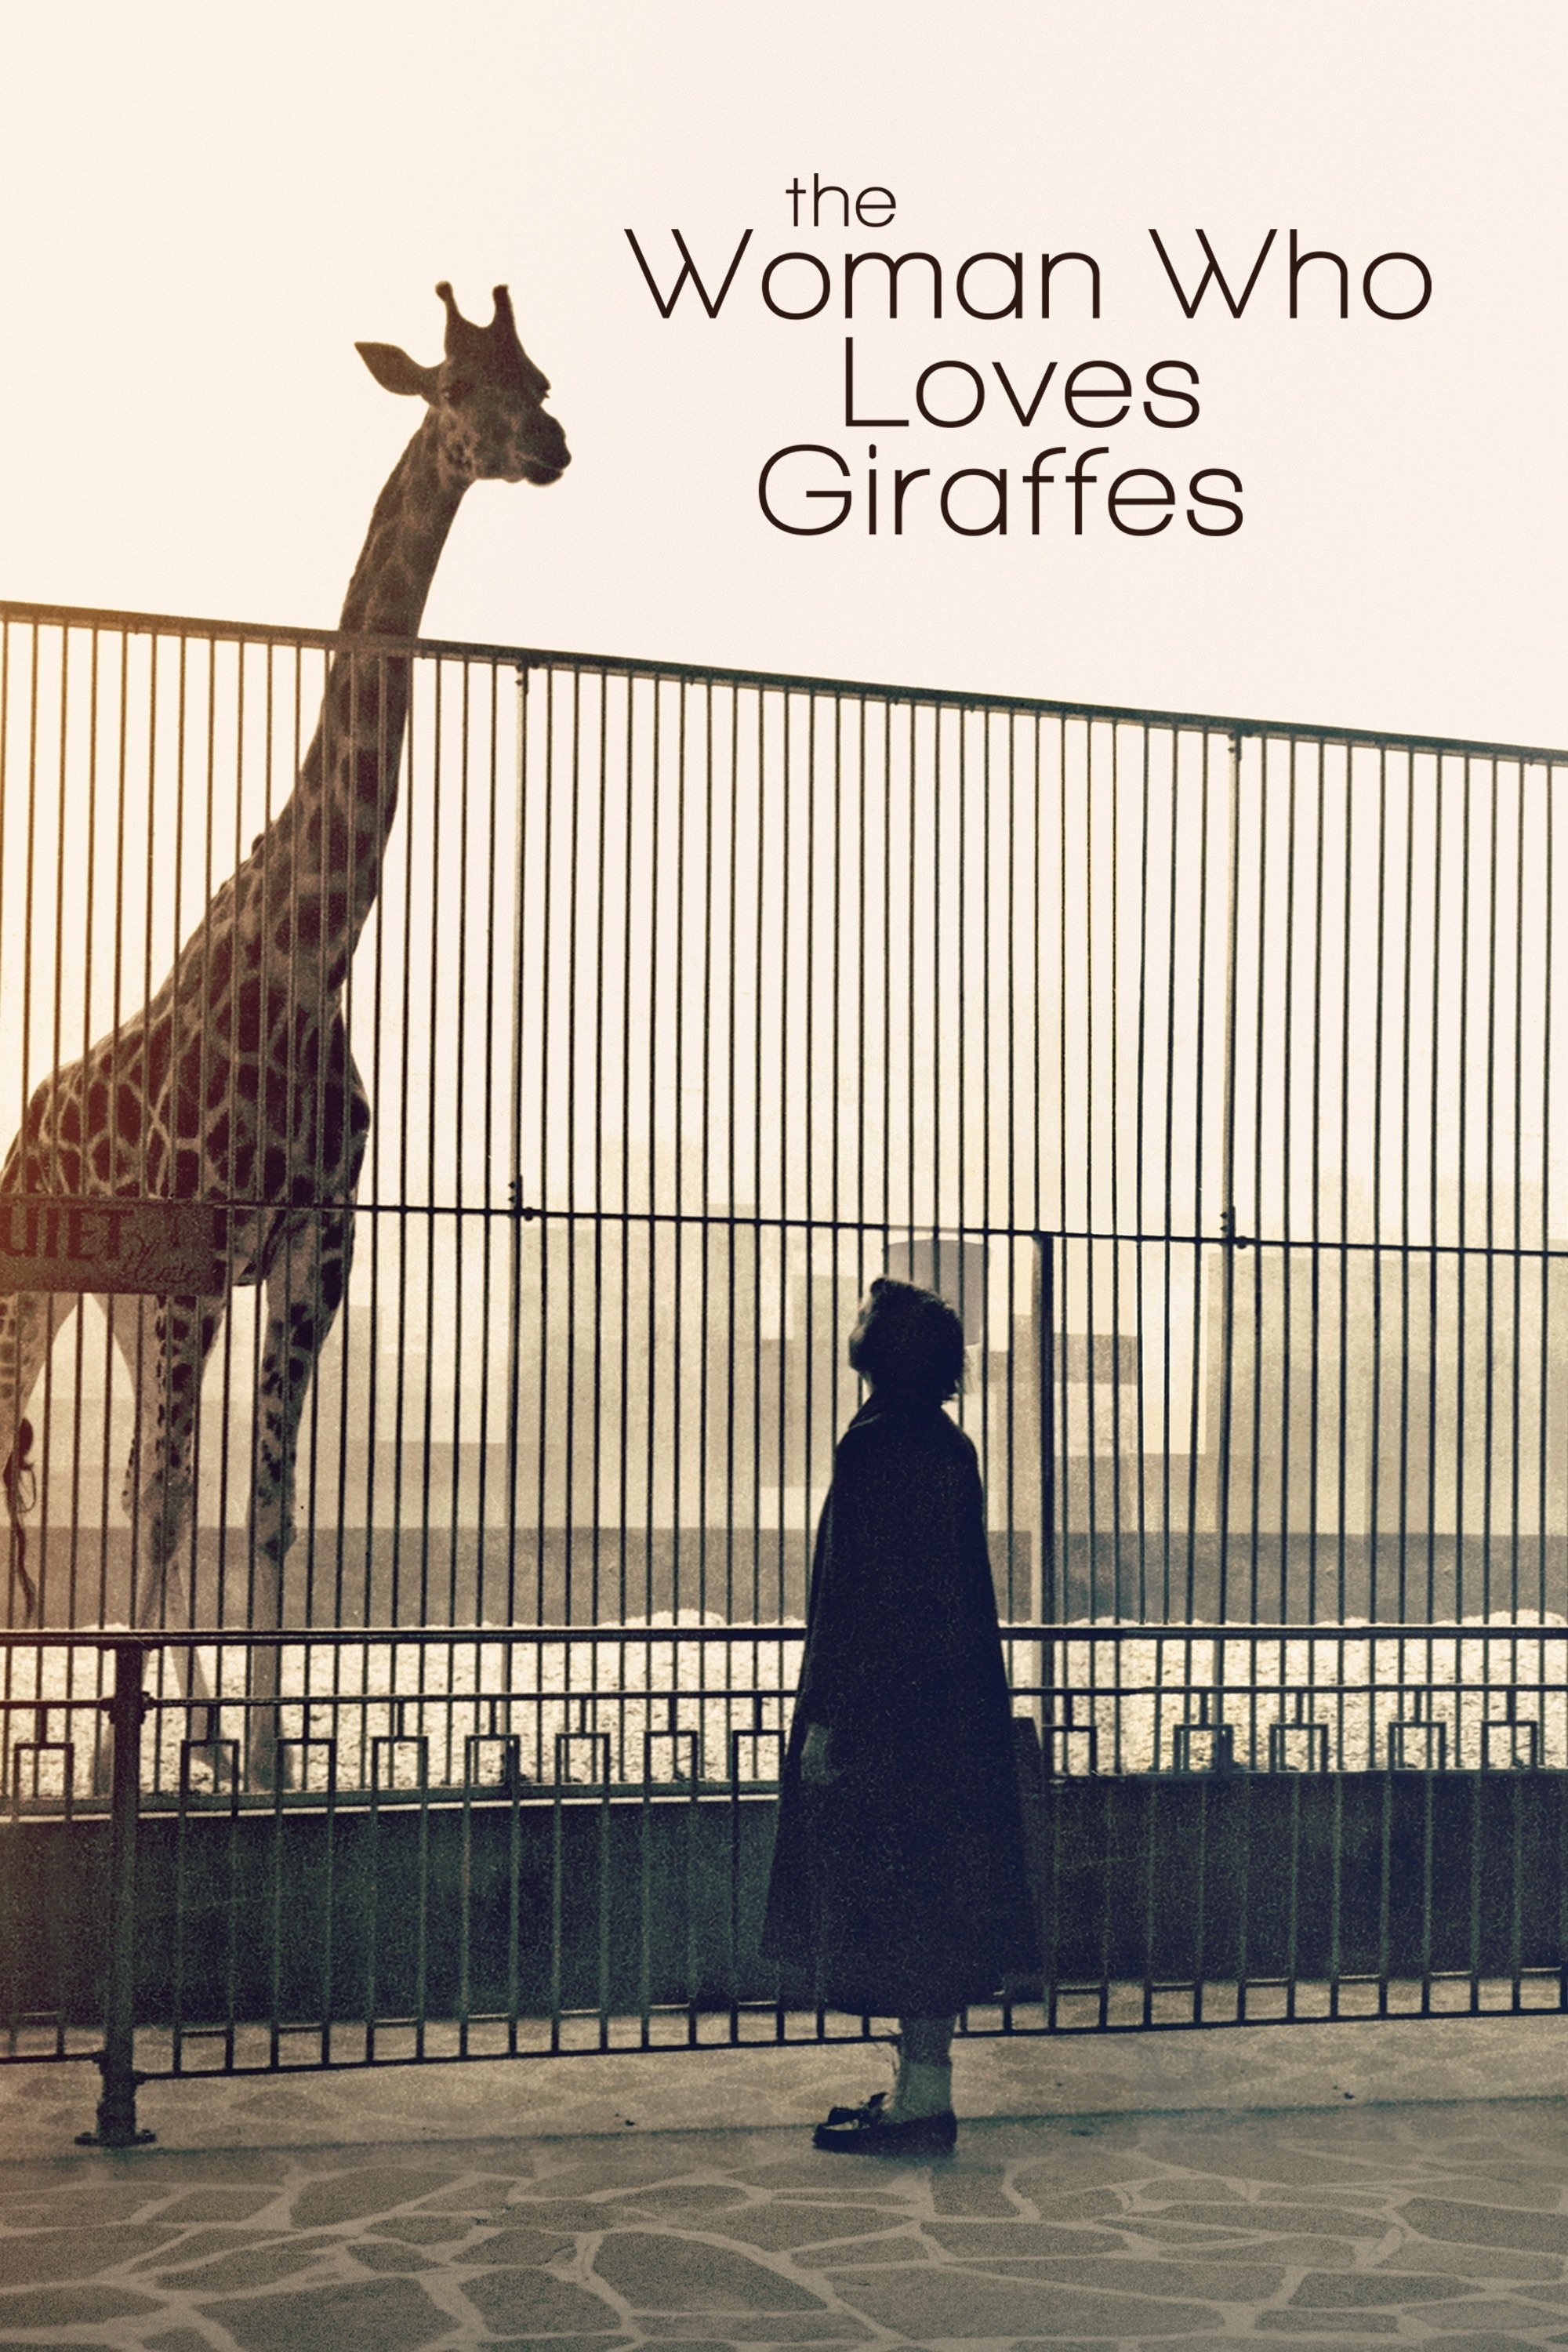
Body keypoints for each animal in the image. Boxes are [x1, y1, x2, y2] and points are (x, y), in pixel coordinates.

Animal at [0, 284, 568, 1744]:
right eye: (456, 389)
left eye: (540, 377)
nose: (549, 446)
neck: (318, 953)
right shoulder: (203, 1246)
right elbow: (165, 1504)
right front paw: (138, 1736)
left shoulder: (314, 1247)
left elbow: (260, 1511)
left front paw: (253, 1752)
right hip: (43, 1285)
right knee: (38, 1465)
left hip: (123, 1308)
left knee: (103, 1467)